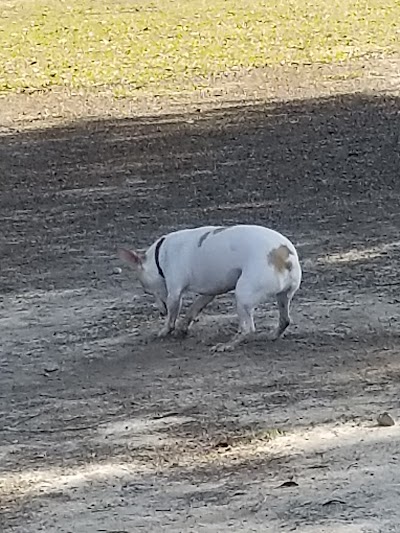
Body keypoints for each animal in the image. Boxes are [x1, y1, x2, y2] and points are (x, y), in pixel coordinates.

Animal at [120, 223, 302, 352]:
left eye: (146, 291)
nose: (160, 312)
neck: (159, 255)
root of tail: (285, 255)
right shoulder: (210, 292)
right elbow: (193, 309)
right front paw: (183, 327)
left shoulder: (174, 294)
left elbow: (172, 317)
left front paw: (165, 330)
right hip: (283, 297)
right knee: (285, 320)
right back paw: (272, 335)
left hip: (243, 296)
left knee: (248, 329)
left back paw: (228, 345)